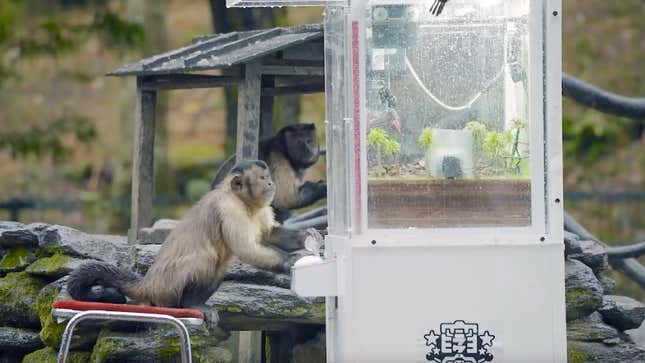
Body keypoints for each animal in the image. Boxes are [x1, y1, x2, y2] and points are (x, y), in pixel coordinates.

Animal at [66, 161, 308, 308]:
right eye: (262, 178)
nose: (271, 183)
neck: (242, 201)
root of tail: (148, 284)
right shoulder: (229, 208)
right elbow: (246, 249)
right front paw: (289, 261)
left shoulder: (263, 207)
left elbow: (268, 234)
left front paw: (306, 238)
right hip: (166, 288)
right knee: (206, 258)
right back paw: (190, 305)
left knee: (220, 266)